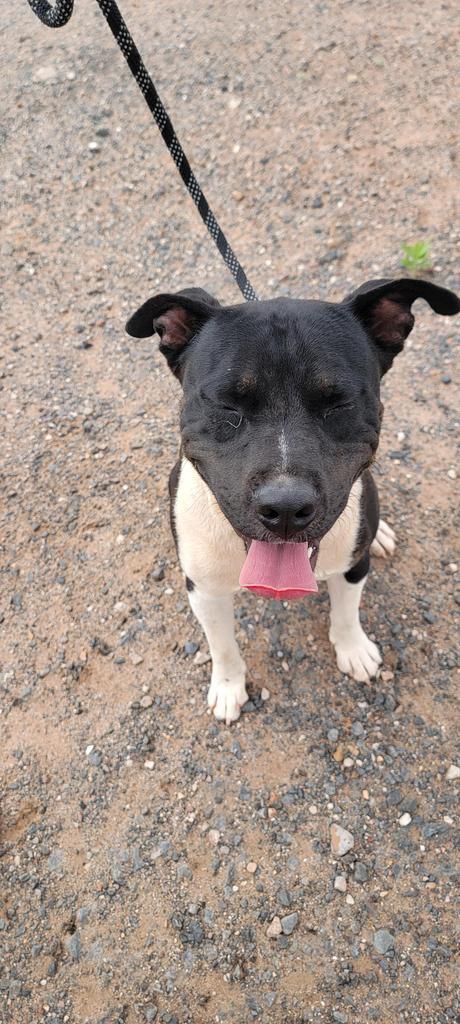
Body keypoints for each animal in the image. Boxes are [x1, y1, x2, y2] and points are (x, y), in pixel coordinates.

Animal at [126, 276, 458, 724]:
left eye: (339, 403)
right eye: (227, 404)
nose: (285, 508)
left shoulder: (353, 563)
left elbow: (346, 611)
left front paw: (354, 649)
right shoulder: (204, 589)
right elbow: (222, 645)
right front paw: (228, 687)